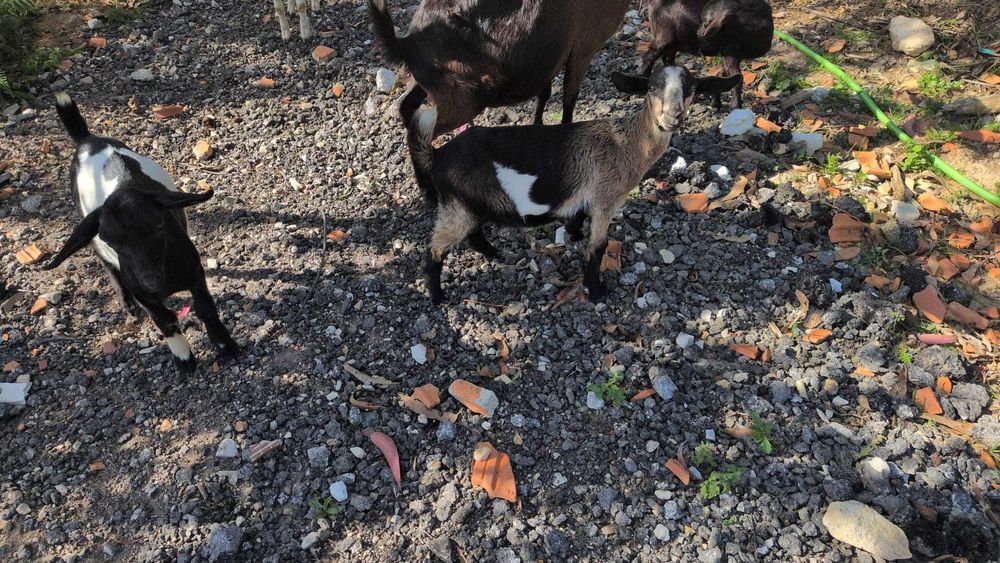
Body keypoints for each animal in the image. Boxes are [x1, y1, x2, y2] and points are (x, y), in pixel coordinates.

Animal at [45, 93, 239, 373]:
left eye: (159, 226)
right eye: (113, 241)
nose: (151, 281)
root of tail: (86, 140)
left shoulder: (194, 273)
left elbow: (205, 308)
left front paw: (225, 344)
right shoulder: (144, 293)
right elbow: (164, 320)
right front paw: (184, 358)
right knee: (106, 264)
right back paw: (127, 304)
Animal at [366, 0, 631, 204]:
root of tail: (408, 42)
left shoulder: (549, 59)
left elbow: (545, 94)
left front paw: (537, 129)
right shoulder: (583, 49)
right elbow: (568, 101)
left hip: (431, 83)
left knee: (406, 108)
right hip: (464, 96)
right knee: (421, 130)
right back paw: (431, 190)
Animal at [409, 66, 741, 304]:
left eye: (693, 89)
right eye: (651, 87)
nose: (673, 117)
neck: (626, 143)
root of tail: (437, 155)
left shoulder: (587, 197)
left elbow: (578, 220)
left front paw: (572, 234)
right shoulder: (607, 197)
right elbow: (598, 247)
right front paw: (596, 292)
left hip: (468, 203)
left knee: (473, 232)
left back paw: (493, 254)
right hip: (457, 205)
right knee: (435, 248)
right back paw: (438, 296)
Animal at [637, 0, 774, 108]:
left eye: (707, 20)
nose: (700, 33)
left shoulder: (730, 53)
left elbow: (724, 77)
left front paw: (716, 104)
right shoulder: (731, 51)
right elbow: (736, 78)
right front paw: (734, 107)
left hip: (674, 43)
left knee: (667, 60)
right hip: (664, 37)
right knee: (649, 57)